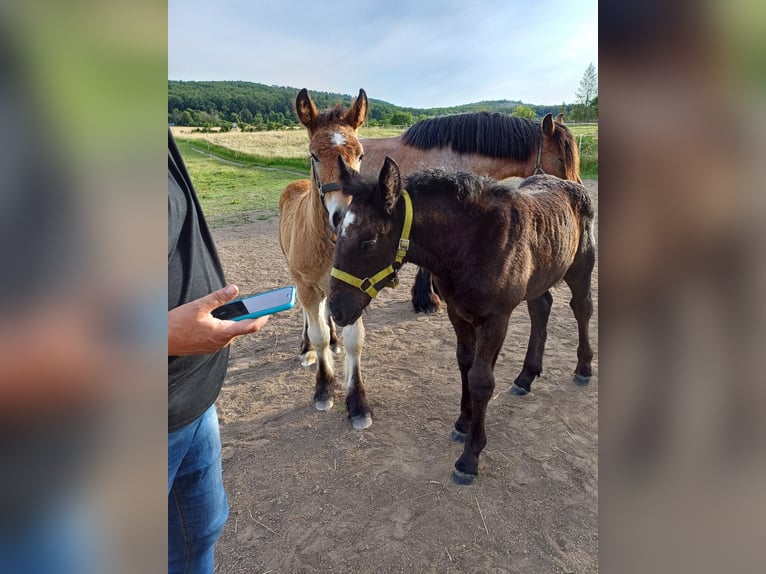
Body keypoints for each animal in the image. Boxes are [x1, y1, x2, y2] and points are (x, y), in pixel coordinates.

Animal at [328, 158, 596, 486]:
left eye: (368, 242)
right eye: (338, 231)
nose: (336, 310)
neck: (472, 243)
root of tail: (570, 184)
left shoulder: (496, 318)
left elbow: (481, 381)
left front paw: (470, 457)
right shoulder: (457, 313)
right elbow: (465, 366)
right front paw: (462, 424)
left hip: (580, 268)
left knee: (582, 308)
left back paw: (583, 368)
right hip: (541, 275)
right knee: (541, 309)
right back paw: (526, 377)